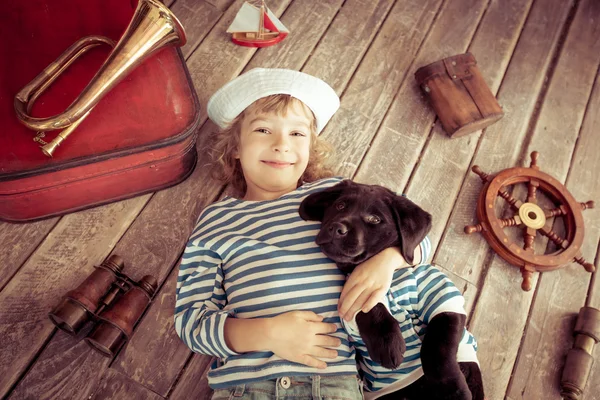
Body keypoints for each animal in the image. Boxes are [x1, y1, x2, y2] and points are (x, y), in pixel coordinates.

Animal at [298, 180, 482, 400]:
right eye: (340, 205)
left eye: (375, 219)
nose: (335, 228)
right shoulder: (350, 301)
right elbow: (369, 306)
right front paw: (387, 340)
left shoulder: (443, 297)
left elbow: (438, 346)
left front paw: (452, 390)